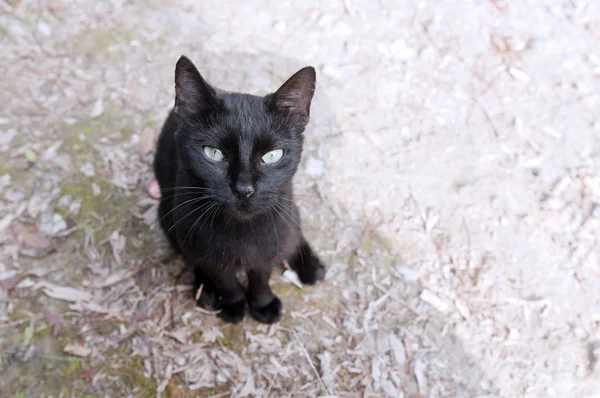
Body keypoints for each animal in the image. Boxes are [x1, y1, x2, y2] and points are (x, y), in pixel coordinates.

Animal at [152, 55, 326, 324]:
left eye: (272, 155)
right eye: (213, 153)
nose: (244, 189)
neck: (240, 231)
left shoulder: (268, 243)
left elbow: (261, 274)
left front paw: (263, 304)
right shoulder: (202, 245)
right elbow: (224, 278)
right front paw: (233, 304)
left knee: (293, 232)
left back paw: (310, 266)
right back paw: (206, 291)